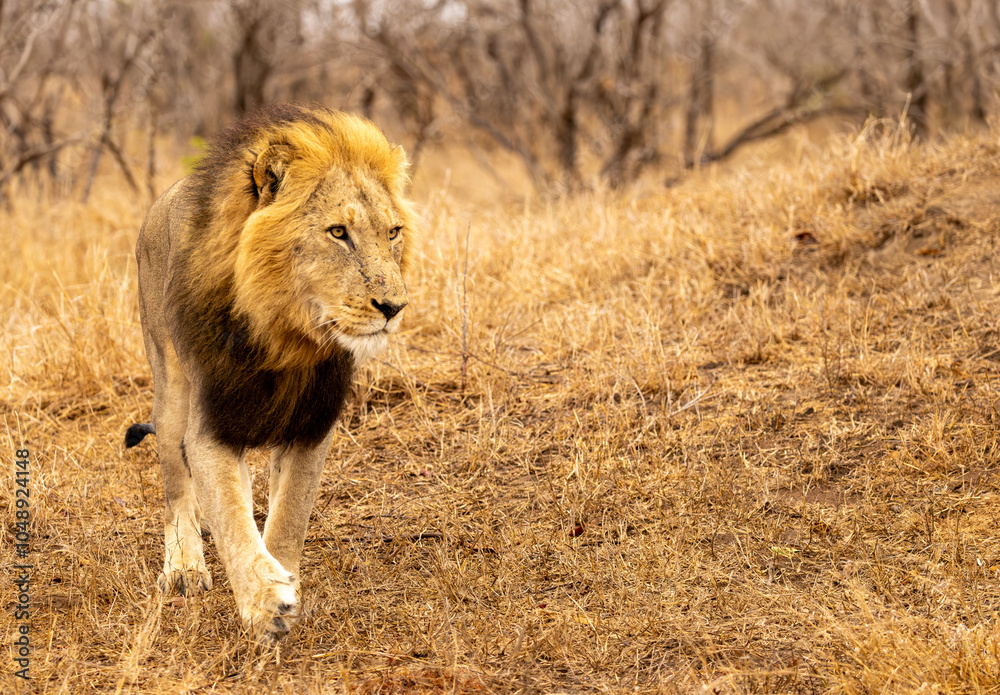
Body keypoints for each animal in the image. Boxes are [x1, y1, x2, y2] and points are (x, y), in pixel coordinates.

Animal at [125, 103, 415, 643]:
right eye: (338, 232)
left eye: (393, 232)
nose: (393, 308)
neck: (288, 337)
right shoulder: (210, 426)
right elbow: (232, 519)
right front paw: (264, 601)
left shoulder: (313, 426)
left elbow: (287, 518)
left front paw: (281, 584)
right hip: (170, 390)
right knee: (176, 486)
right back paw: (185, 566)